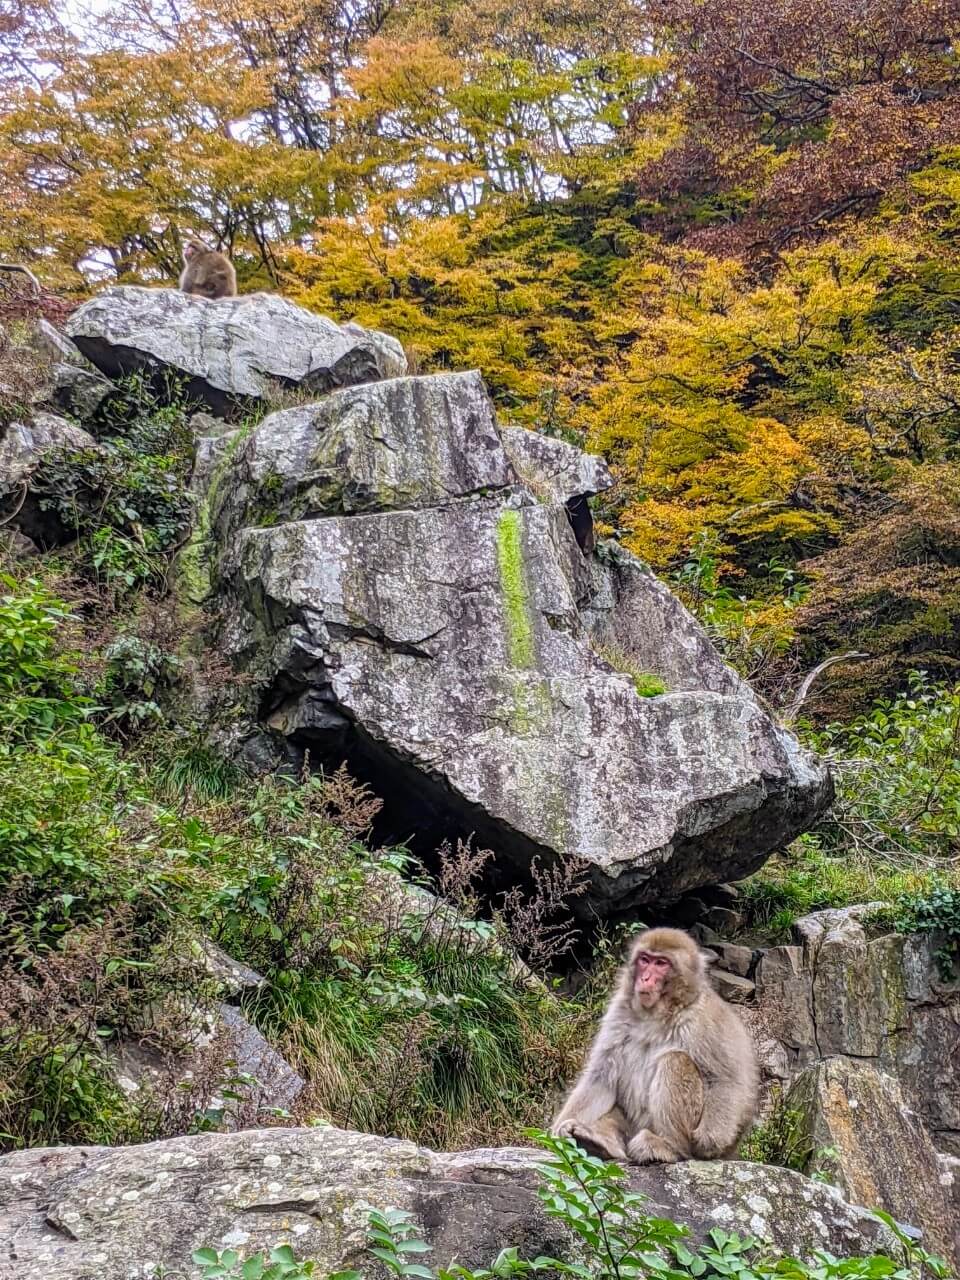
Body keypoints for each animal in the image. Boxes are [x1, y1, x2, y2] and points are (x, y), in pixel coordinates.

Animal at [555, 931, 757, 1162]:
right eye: (645, 960)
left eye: (661, 963)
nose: (645, 978)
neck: (657, 1012)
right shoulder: (619, 1010)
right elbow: (601, 1076)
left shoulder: (705, 1018)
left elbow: (726, 1079)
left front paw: (709, 1140)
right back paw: (595, 1141)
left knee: (675, 1060)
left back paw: (669, 1147)